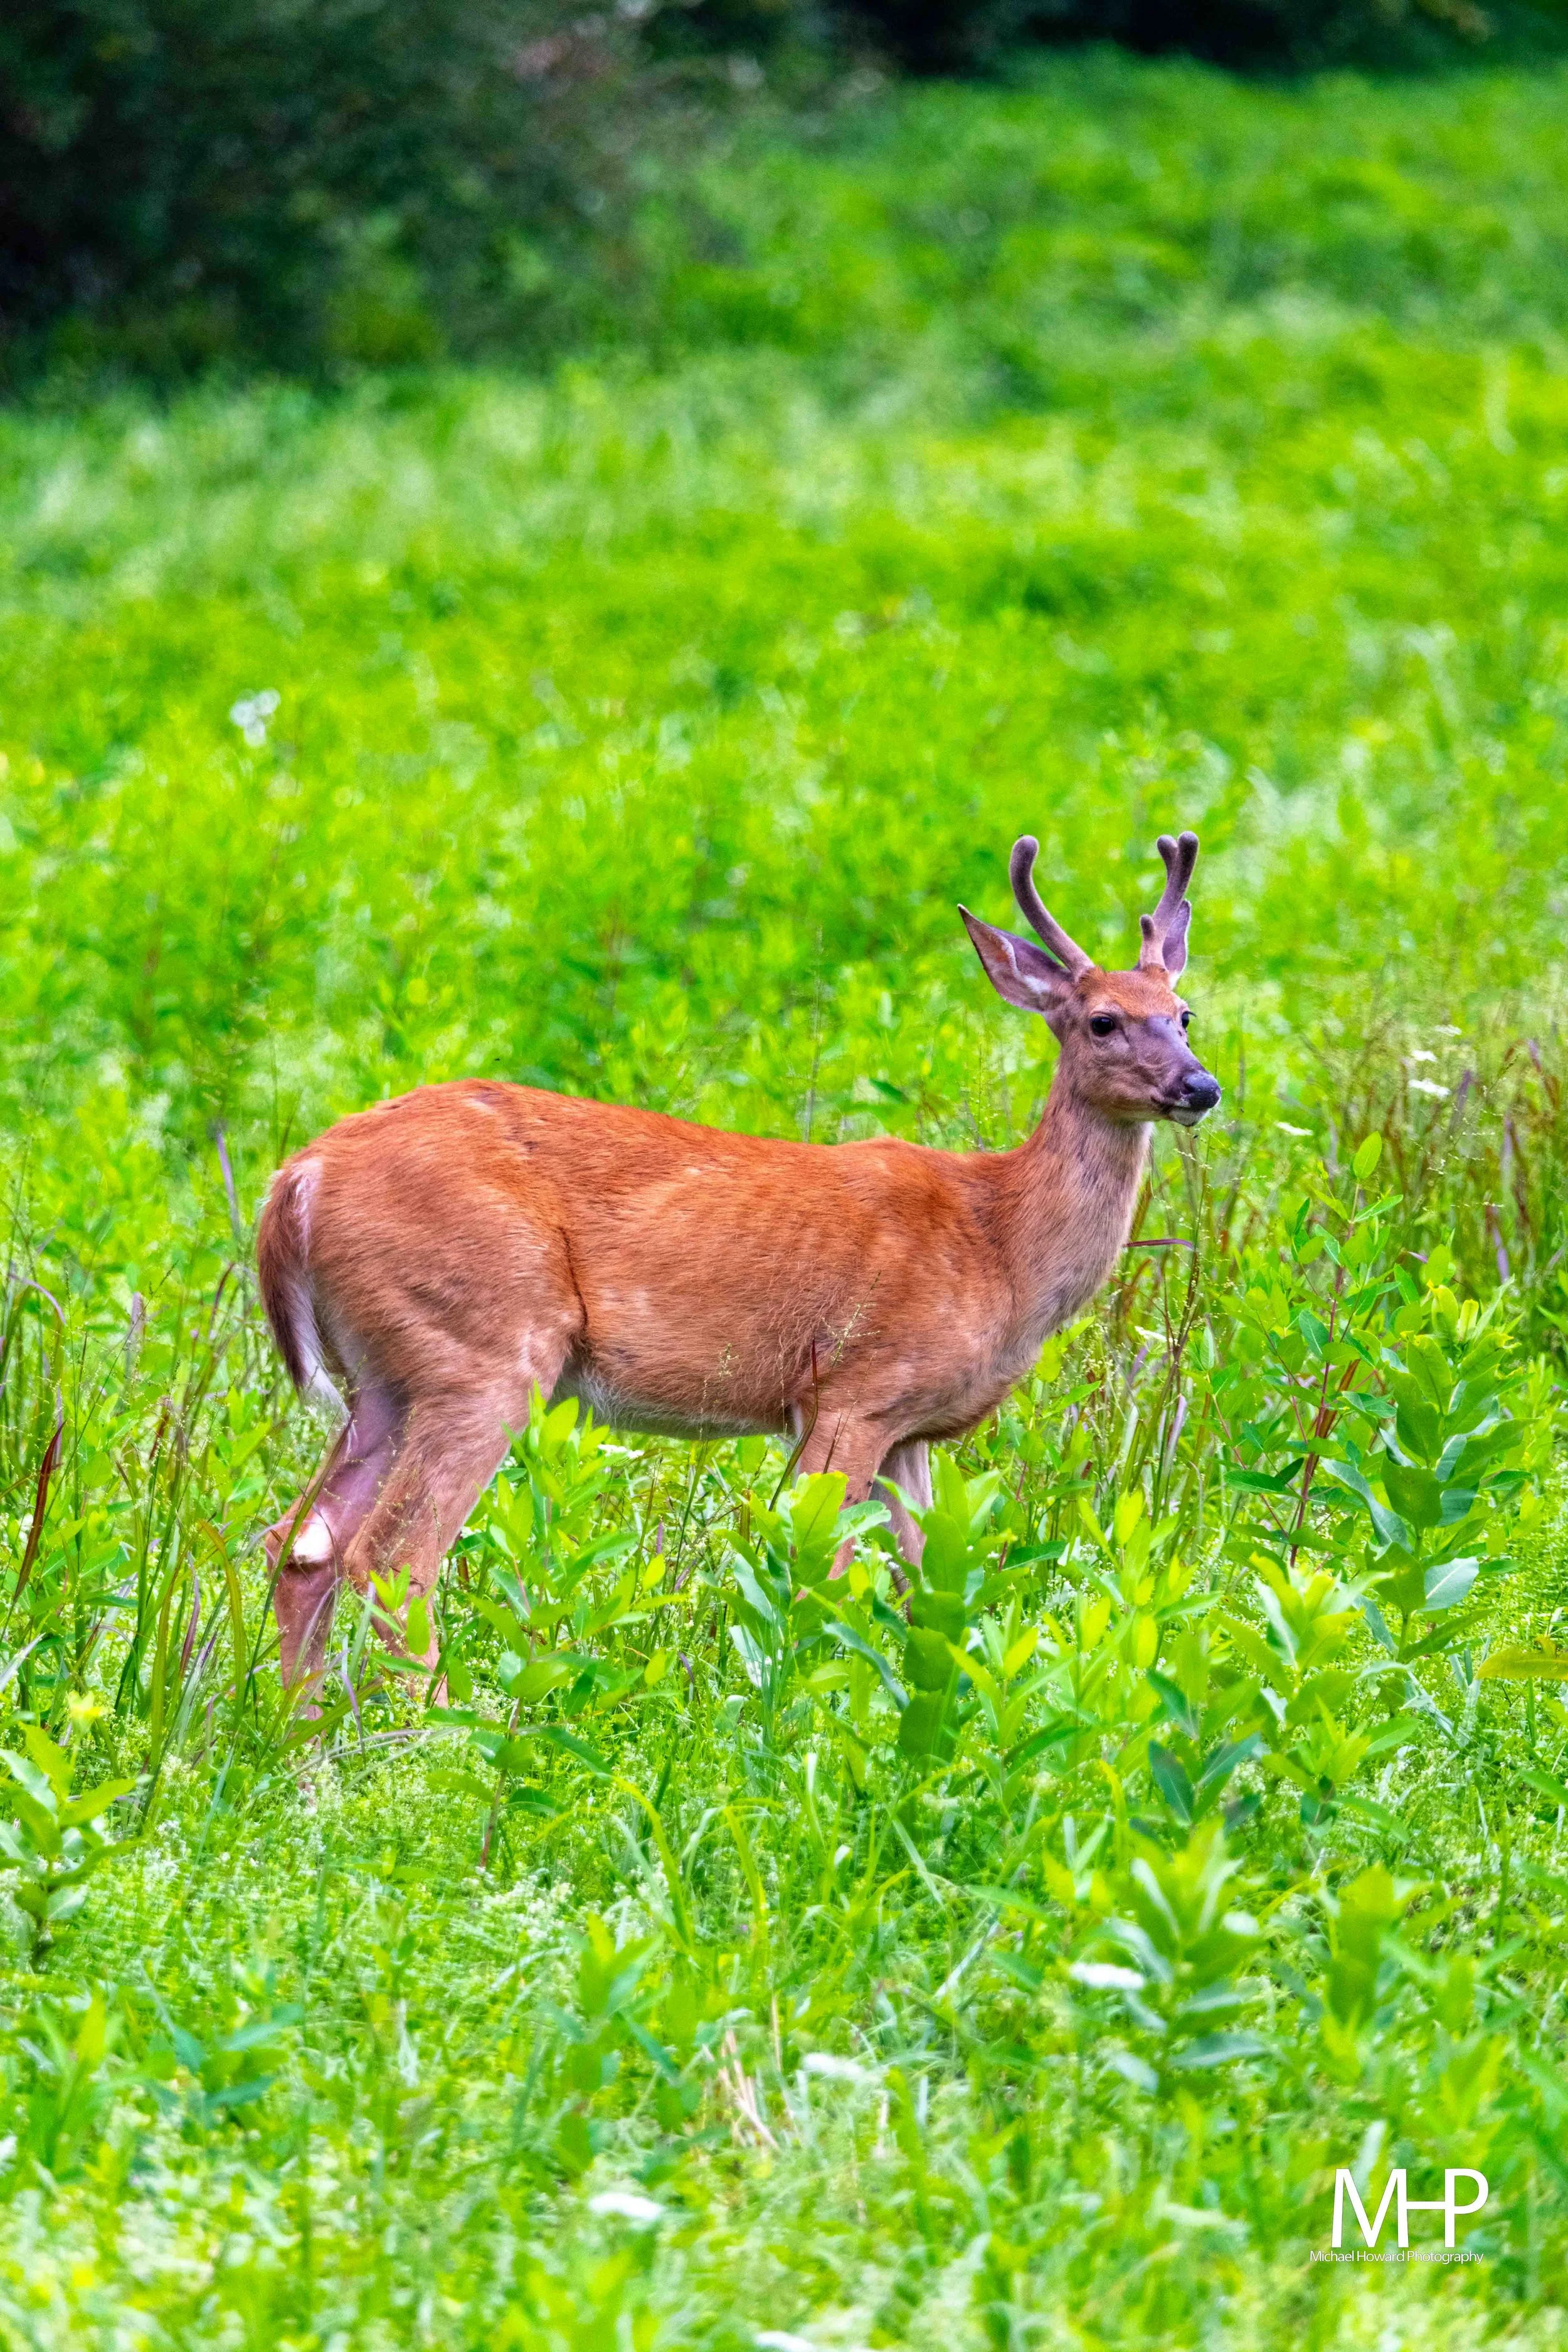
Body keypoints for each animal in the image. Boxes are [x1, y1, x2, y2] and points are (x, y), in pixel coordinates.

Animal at [257, 828, 1220, 1698]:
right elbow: (818, 1575)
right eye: (1101, 1020)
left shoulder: (911, 1428)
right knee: (391, 1559)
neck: (998, 1241)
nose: (1199, 1087)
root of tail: (296, 1181)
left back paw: (304, 1740)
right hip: (485, 1345)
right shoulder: (849, 1391)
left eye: (1184, 1015)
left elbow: (930, 1592)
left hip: (387, 1376)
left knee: (301, 1547)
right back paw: (437, 1741)